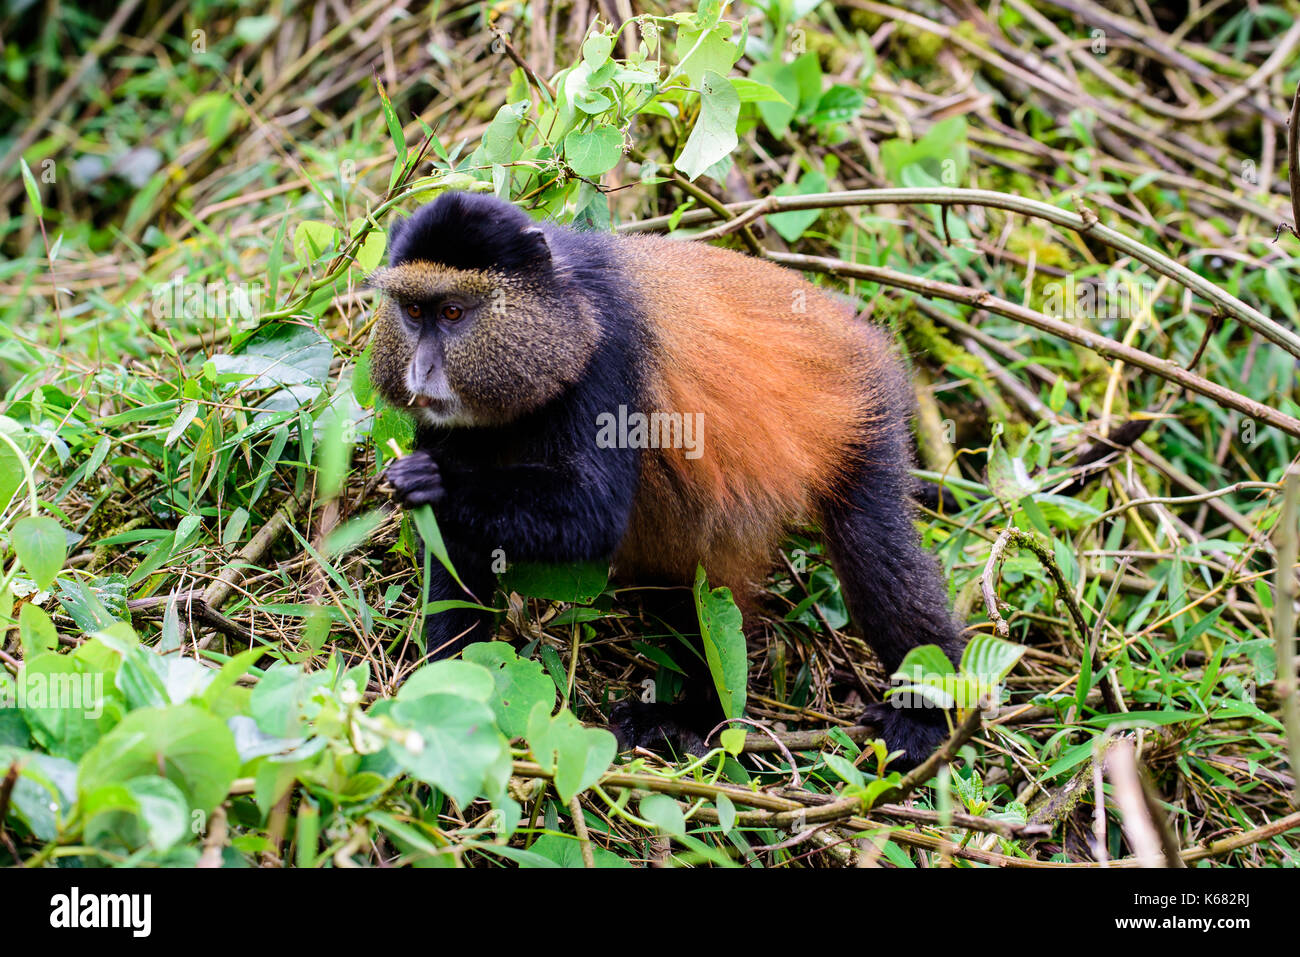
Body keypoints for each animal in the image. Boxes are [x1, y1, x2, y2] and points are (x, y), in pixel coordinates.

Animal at [367, 190, 966, 768]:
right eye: (413, 311)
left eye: (452, 312)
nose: (420, 372)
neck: (563, 308)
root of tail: (856, 329)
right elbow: (457, 548)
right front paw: (448, 692)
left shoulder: (609, 356)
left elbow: (594, 514)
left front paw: (432, 482)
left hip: (866, 416)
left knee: (871, 552)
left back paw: (917, 716)